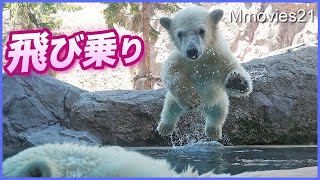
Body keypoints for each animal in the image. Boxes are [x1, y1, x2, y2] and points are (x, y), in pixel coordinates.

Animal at [158, 4, 252, 139]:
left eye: (202, 31)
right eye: (180, 34)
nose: (192, 51)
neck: (201, 60)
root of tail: (203, 108)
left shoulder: (219, 57)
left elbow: (233, 70)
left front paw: (236, 81)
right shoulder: (180, 58)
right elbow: (170, 72)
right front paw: (191, 99)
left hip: (218, 100)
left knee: (219, 112)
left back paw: (213, 131)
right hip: (174, 99)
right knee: (170, 107)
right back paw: (164, 127)